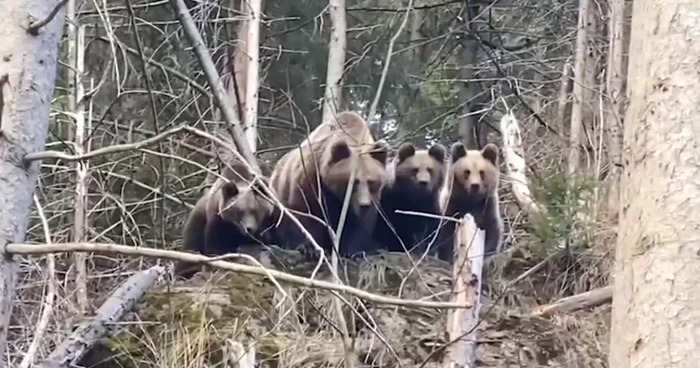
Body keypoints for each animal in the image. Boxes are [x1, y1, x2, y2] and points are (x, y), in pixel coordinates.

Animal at [270, 110, 392, 258]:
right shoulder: (310, 178)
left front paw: (353, 251)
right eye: (353, 181)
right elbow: (305, 211)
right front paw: (310, 248)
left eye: (371, 181)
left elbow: (361, 223)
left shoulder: (371, 199)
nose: (364, 204)